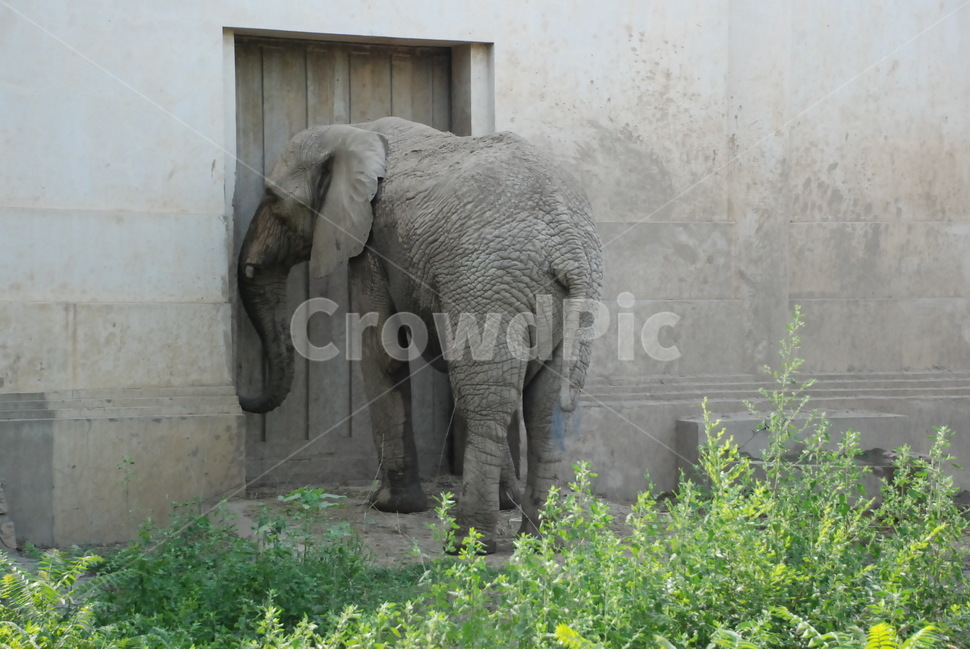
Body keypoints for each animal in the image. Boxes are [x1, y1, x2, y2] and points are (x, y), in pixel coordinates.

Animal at [237, 117, 603, 552]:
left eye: (273, 199)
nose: (241, 396)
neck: (354, 130)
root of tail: (568, 248)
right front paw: (504, 500)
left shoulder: (373, 243)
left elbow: (381, 349)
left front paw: (391, 506)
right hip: (570, 299)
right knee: (543, 404)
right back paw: (540, 542)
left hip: (487, 283)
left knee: (487, 397)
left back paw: (467, 543)